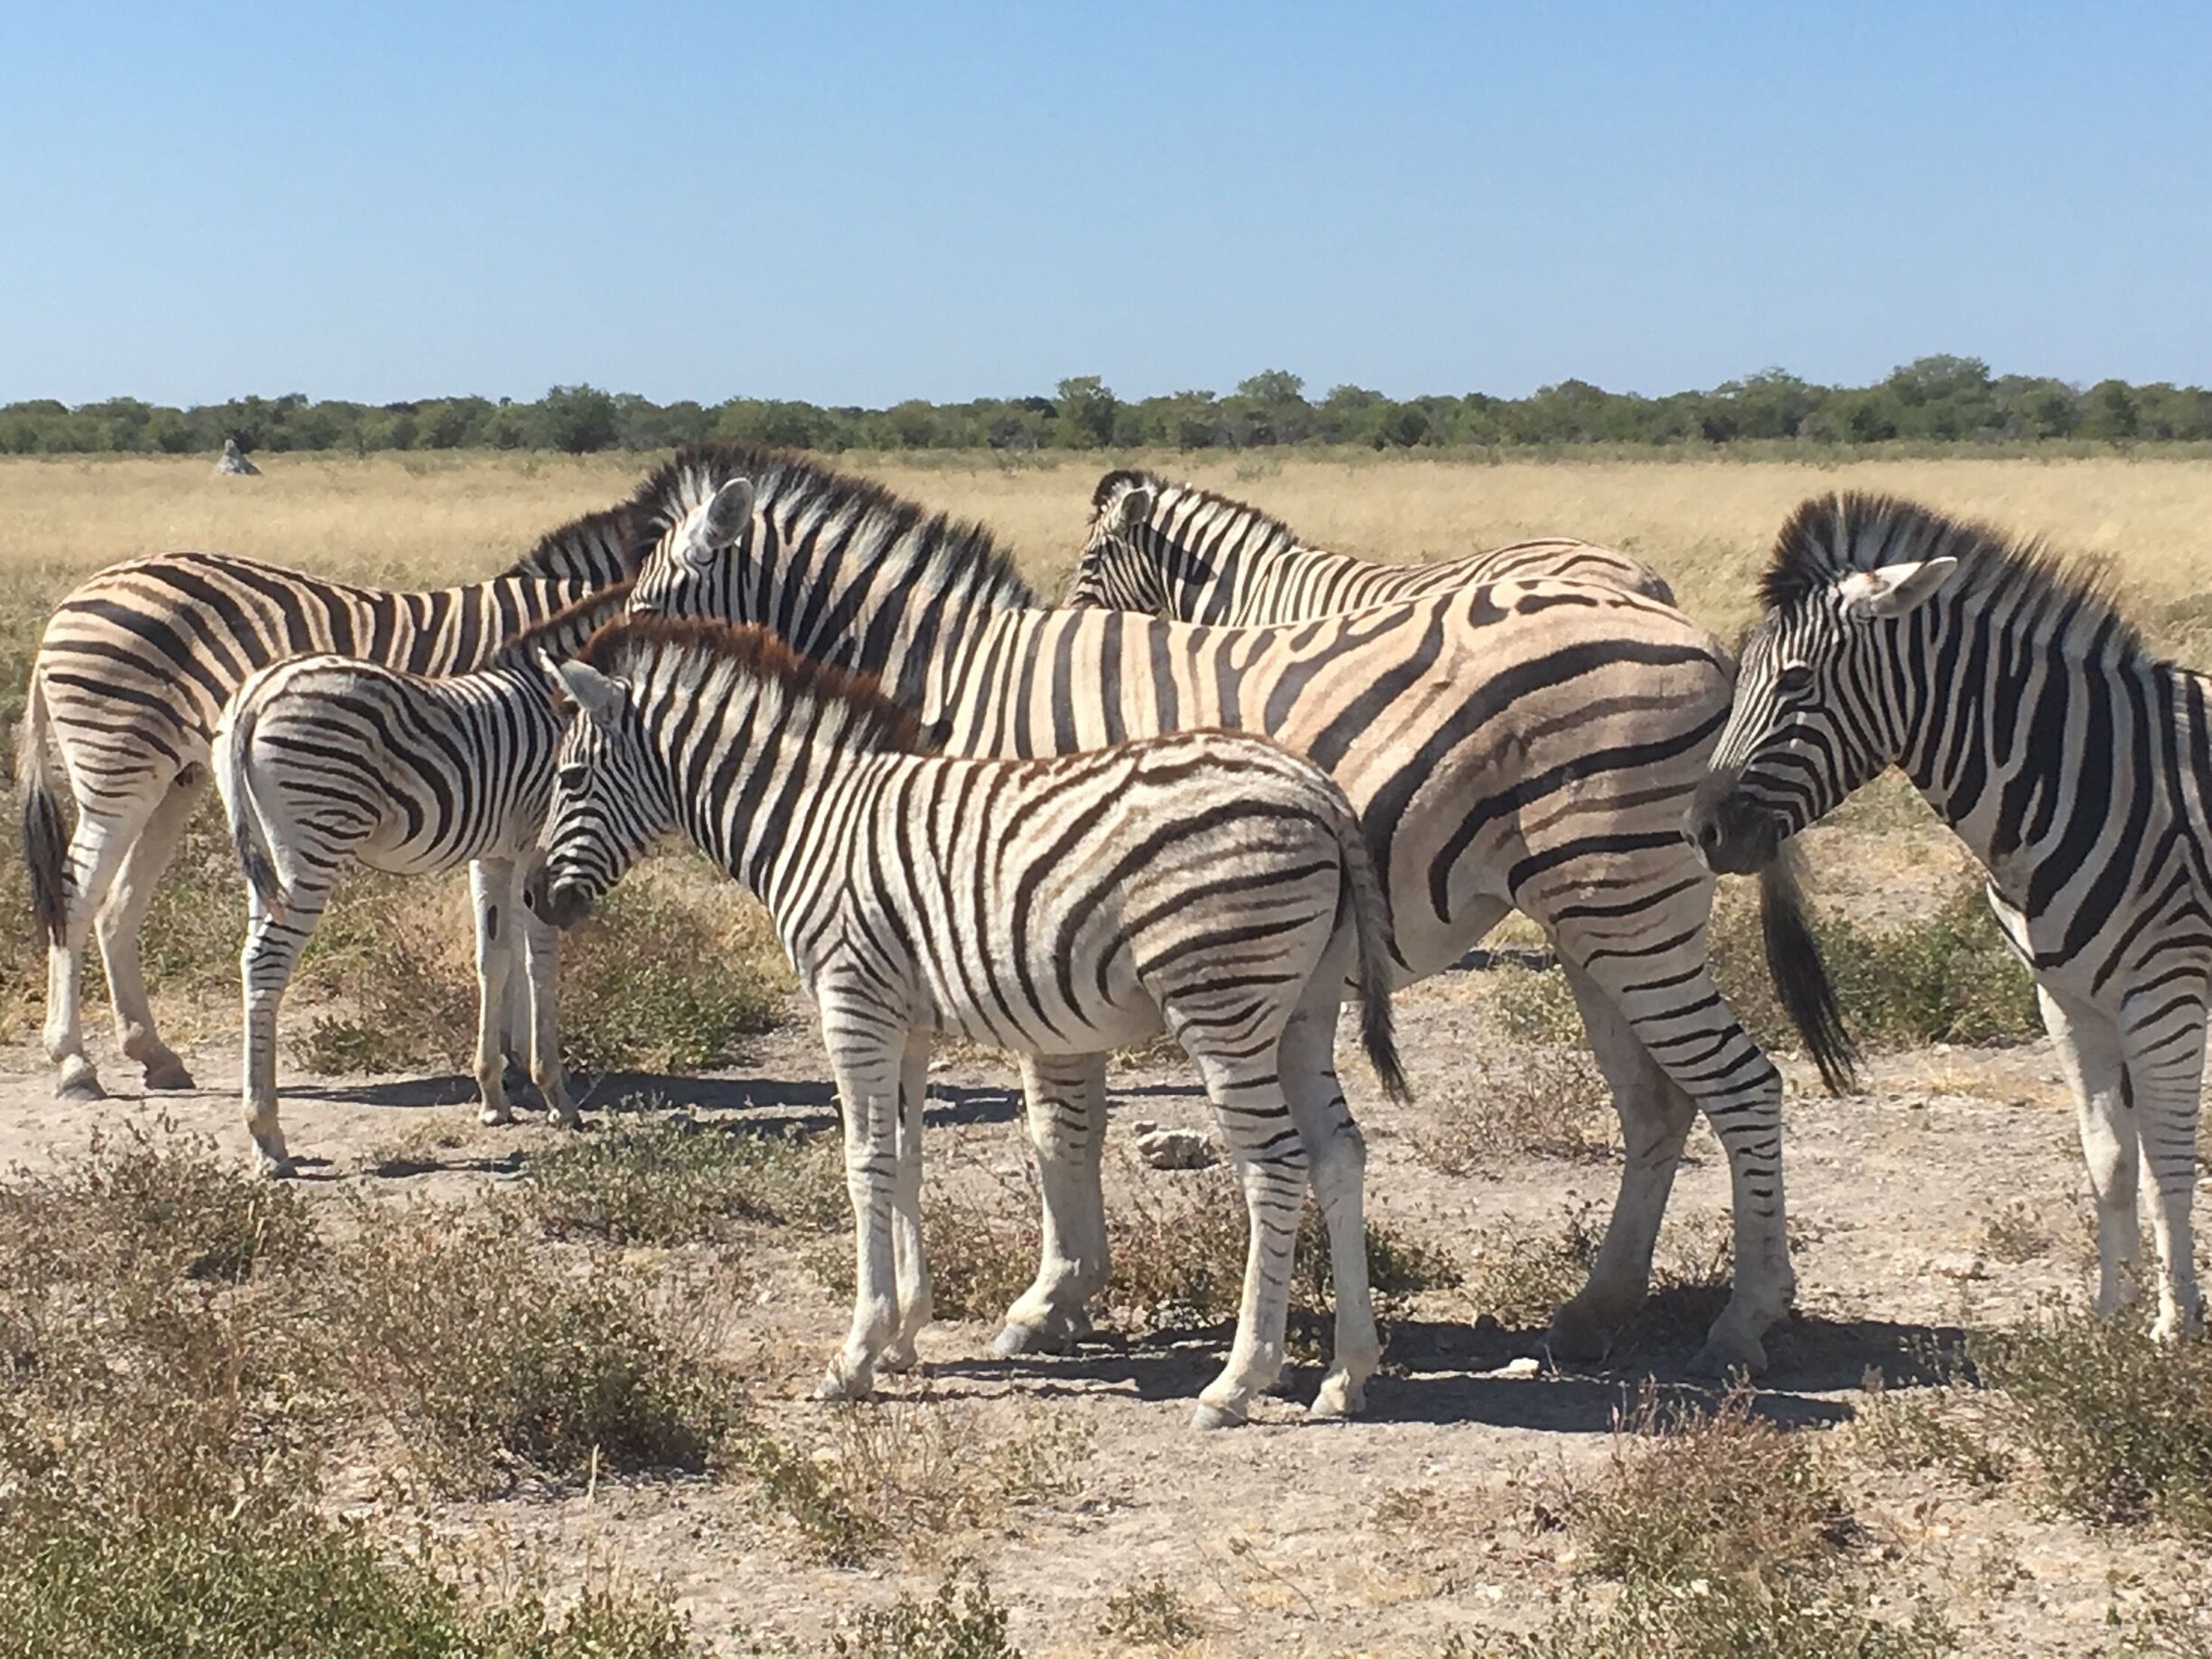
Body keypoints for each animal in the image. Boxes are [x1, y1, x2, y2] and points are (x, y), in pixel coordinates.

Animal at [15, 506, 637, 1103]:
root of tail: (72, 601)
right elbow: (518, 937)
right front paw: (518, 1065)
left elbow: (508, 936)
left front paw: (511, 1060)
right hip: (117, 769)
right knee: (74, 896)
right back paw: (74, 1063)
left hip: (174, 781)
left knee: (117, 905)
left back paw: (154, 1054)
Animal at [212, 583, 634, 1176]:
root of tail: (256, 692)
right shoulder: (538, 844)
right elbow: (539, 962)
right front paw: (556, 1095)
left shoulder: (495, 854)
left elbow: (495, 958)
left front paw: (496, 1095)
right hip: (314, 841)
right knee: (265, 960)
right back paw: (269, 1137)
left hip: (267, 858)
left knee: (253, 957)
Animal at [528, 614, 1407, 1427]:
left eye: (569, 777)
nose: (535, 896)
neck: (810, 817)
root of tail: (1315, 787)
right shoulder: (905, 1018)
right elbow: (907, 1159)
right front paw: (903, 1335)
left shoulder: (851, 1003)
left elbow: (865, 1164)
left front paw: (854, 1355)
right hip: (1302, 1009)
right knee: (1339, 1154)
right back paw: (1347, 1373)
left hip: (1222, 1002)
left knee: (1275, 1167)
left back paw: (1238, 1381)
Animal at [1690, 491, 2208, 1343]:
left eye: (1797, 682)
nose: (1701, 830)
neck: (2082, 776)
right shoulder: (2066, 999)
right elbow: (2109, 1156)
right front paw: (2111, 1318)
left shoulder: (2164, 993)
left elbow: (2169, 1155)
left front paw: (2175, 1329)